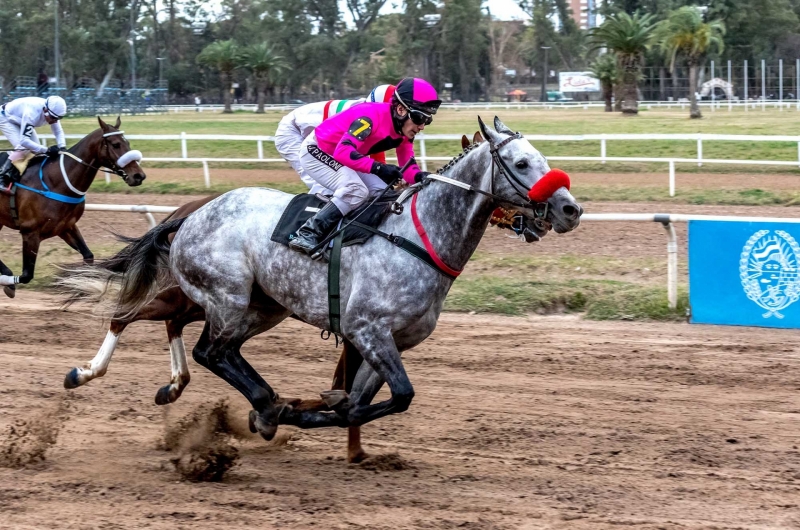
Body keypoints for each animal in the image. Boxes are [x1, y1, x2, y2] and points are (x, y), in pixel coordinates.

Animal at [0, 115, 145, 296]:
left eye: (128, 143)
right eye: (116, 144)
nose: (139, 176)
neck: (56, 181)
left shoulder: (66, 227)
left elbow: (88, 256)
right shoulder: (30, 232)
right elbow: (26, 275)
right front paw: (7, 283)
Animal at [72, 115, 580, 438]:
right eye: (521, 163)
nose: (570, 209)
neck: (419, 236)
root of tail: (190, 215)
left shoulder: (391, 340)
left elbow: (362, 403)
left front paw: (315, 409)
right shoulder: (367, 329)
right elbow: (399, 394)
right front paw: (301, 414)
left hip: (261, 306)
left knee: (208, 344)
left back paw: (255, 402)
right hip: (226, 297)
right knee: (201, 347)